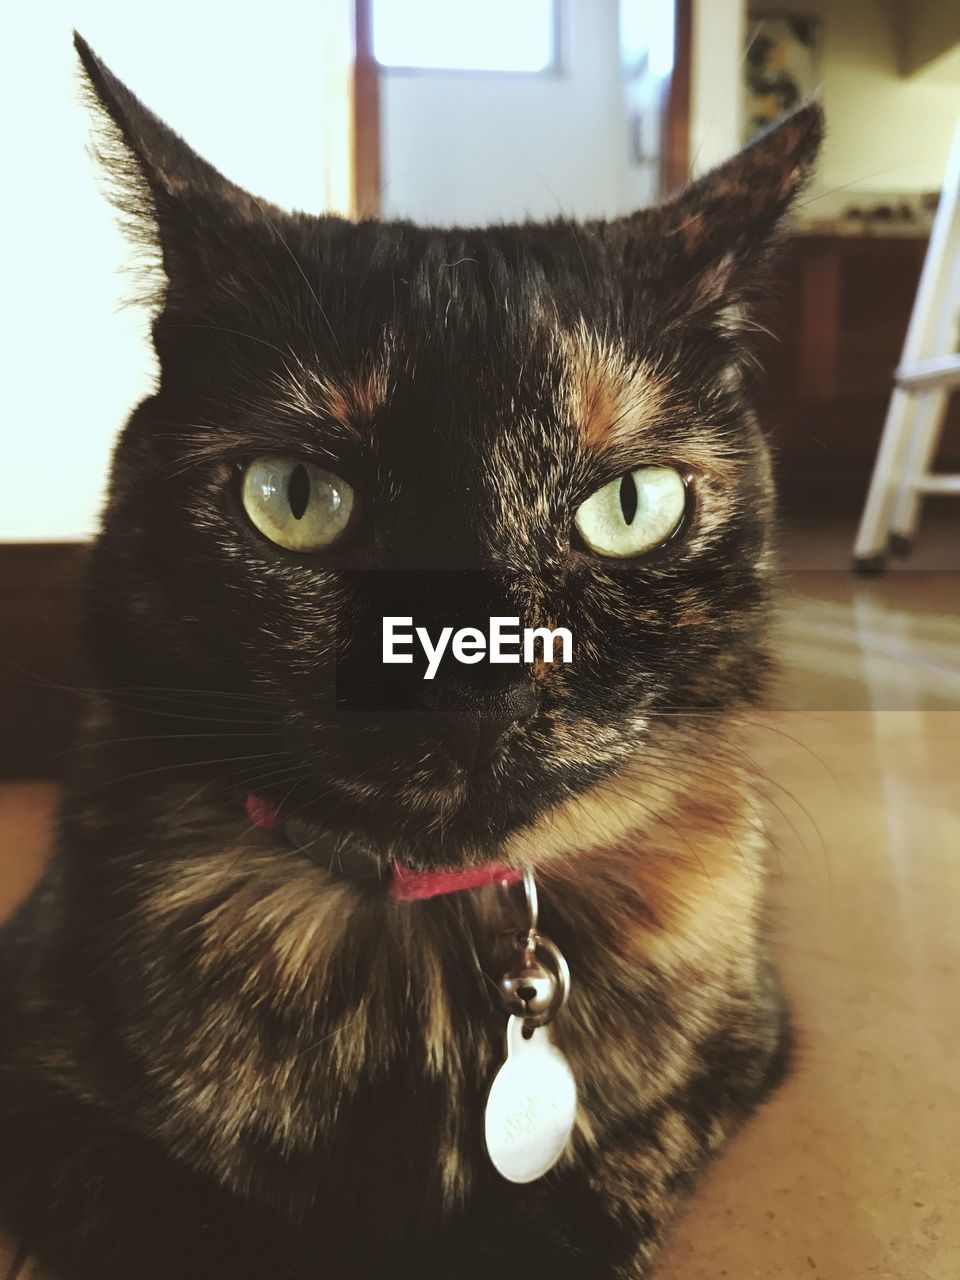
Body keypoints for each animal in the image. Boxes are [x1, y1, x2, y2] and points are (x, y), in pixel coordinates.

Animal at [0, 32, 824, 1280]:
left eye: (631, 505)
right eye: (294, 498)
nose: (470, 681)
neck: (426, 944)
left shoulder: (732, 1045)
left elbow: (598, 1191)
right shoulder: (46, 1091)